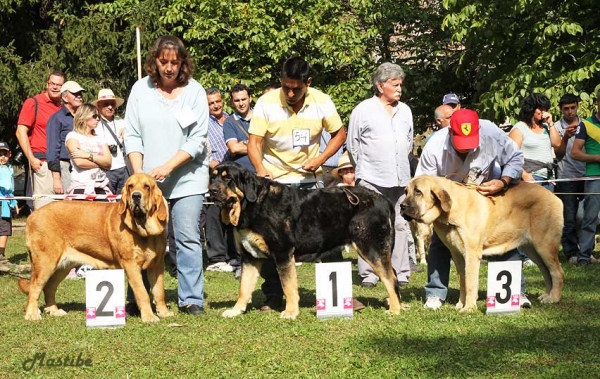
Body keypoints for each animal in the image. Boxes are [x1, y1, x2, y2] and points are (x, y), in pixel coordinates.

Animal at [19, 174, 170, 322]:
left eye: (147, 186)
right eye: (130, 186)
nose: (136, 196)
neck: (144, 231)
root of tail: (32, 215)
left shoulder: (157, 265)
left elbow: (159, 292)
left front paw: (164, 312)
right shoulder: (131, 266)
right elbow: (142, 292)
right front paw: (149, 316)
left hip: (63, 266)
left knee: (49, 287)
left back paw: (54, 311)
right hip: (45, 263)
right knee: (35, 288)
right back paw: (32, 314)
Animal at [209, 162, 400, 320]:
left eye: (228, 179)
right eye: (213, 177)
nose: (211, 190)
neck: (253, 204)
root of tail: (383, 199)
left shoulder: (283, 253)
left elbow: (288, 286)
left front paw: (291, 312)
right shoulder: (250, 257)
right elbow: (244, 288)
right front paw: (236, 310)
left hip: (371, 247)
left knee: (390, 277)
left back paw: (395, 309)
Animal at [400, 177, 564, 314]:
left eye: (418, 191)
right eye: (406, 191)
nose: (401, 206)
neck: (452, 209)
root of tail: (555, 197)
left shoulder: (471, 254)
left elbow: (470, 282)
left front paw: (469, 308)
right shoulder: (457, 255)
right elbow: (463, 281)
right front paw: (461, 304)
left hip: (544, 246)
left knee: (557, 273)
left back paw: (553, 298)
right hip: (533, 250)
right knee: (547, 272)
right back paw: (547, 295)